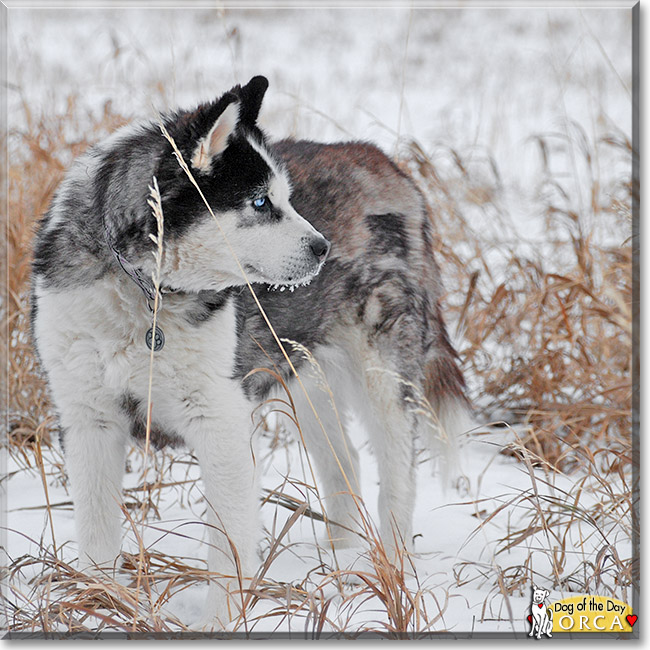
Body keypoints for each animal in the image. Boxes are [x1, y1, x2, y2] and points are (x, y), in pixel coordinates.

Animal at [30, 74, 468, 624]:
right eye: (261, 203)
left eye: (286, 197)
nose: (323, 249)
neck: (145, 292)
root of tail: (383, 159)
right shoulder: (90, 418)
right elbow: (95, 531)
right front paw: (98, 606)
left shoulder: (220, 419)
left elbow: (228, 546)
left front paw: (220, 621)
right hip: (304, 375)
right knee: (345, 461)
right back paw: (344, 560)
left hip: (384, 375)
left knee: (398, 473)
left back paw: (391, 566)